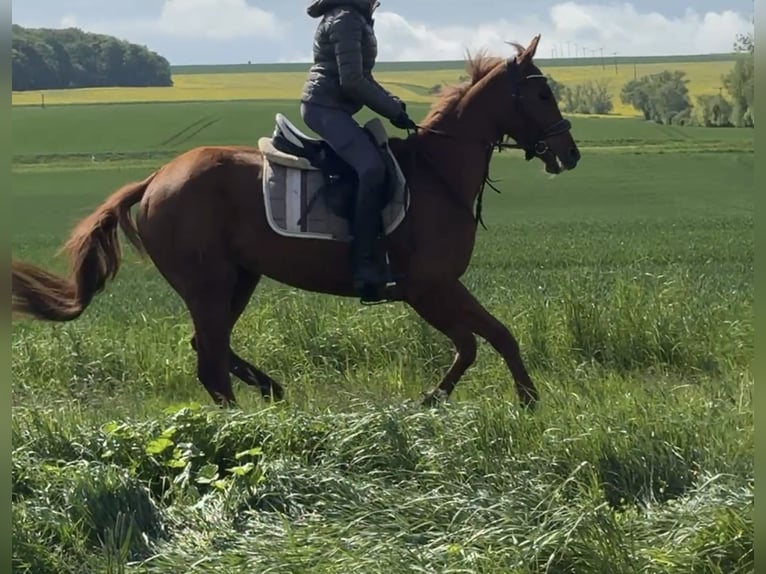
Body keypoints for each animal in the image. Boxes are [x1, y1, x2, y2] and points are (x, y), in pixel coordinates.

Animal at [11, 35, 580, 409]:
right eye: (541, 94)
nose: (570, 153)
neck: (438, 173)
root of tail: (155, 180)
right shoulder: (430, 287)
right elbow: (487, 339)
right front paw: (522, 401)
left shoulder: (436, 289)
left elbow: (483, 341)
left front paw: (453, 400)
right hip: (208, 282)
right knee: (210, 360)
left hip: (239, 278)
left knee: (210, 347)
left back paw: (271, 388)